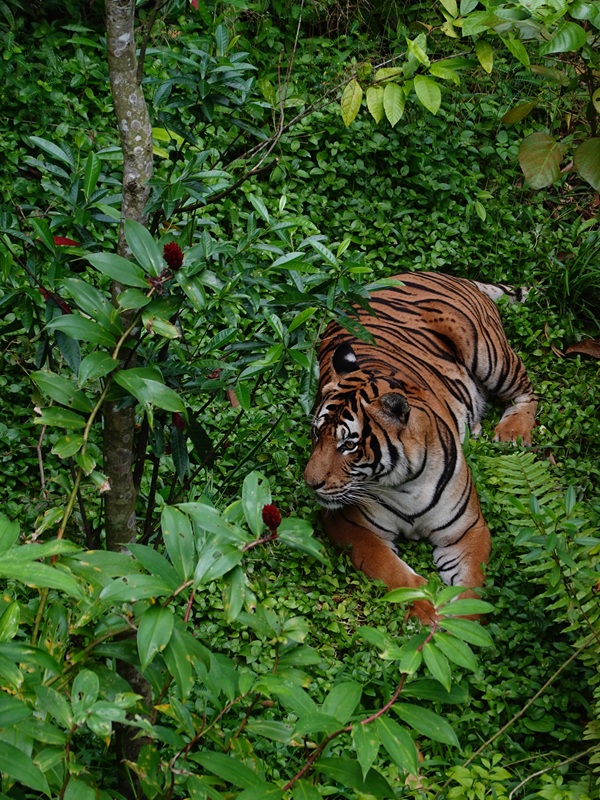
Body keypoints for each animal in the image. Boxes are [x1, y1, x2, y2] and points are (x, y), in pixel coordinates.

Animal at [304, 271, 537, 624]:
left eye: (348, 445)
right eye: (317, 435)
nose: (310, 483)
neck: (405, 484)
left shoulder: (467, 529)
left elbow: (472, 590)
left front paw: (459, 631)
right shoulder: (351, 525)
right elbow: (395, 574)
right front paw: (428, 613)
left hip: (487, 353)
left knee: (528, 389)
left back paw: (512, 432)